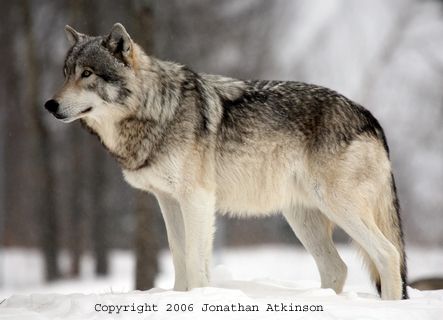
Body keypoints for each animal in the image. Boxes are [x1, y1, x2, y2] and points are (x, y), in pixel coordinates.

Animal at [45, 23, 410, 300]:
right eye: (65, 74)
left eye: (87, 74)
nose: (50, 104)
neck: (157, 110)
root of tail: (369, 116)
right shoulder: (168, 200)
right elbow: (178, 256)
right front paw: (179, 299)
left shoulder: (197, 199)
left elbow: (196, 261)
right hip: (302, 218)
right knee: (337, 268)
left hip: (338, 207)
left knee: (388, 254)